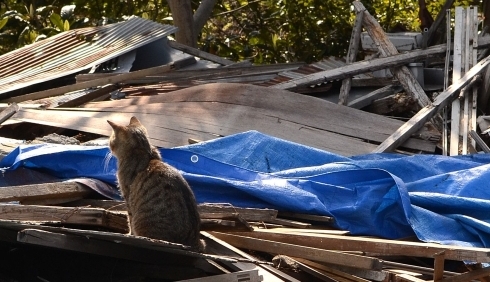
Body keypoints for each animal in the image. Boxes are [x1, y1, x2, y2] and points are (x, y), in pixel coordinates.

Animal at [107, 115, 205, 252]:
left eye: (111, 139)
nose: (108, 145)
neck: (145, 152)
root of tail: (193, 241)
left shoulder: (127, 196)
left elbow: (129, 219)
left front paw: (130, 234)